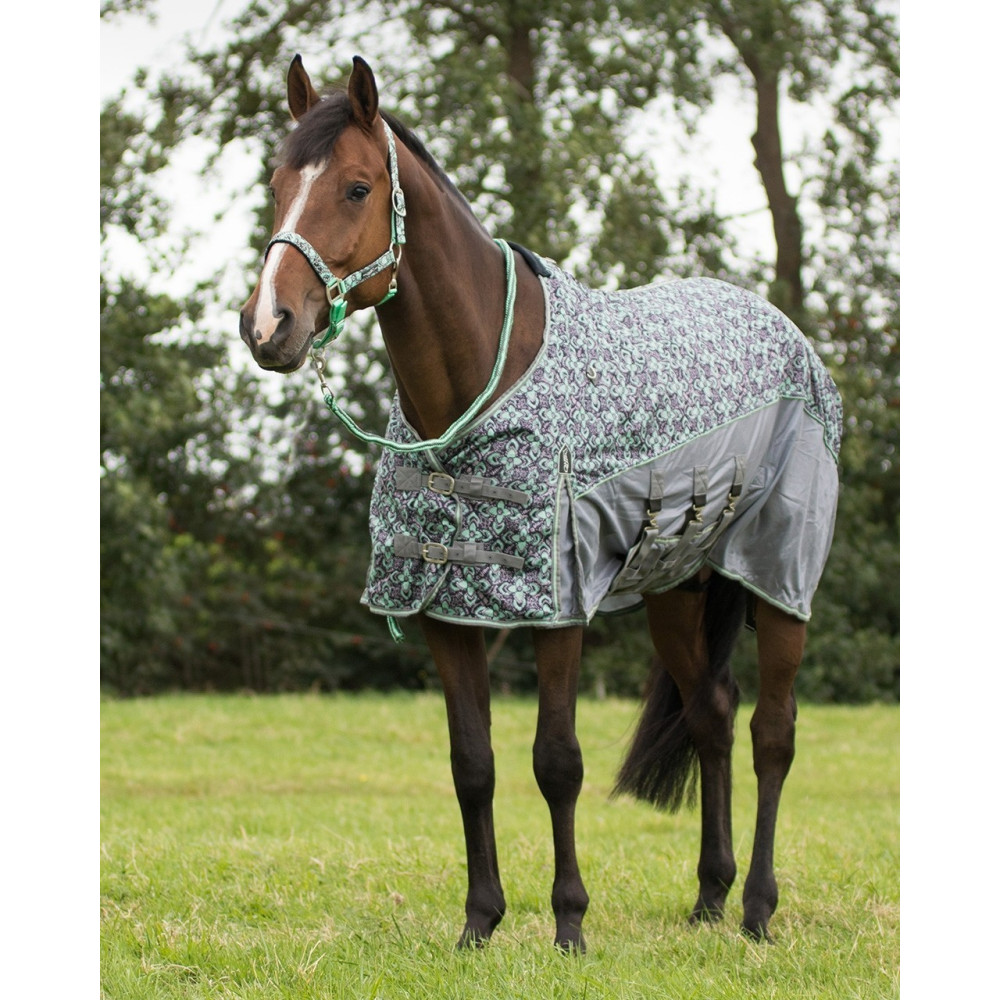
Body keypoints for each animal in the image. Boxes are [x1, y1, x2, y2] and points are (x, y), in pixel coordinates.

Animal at [239, 55, 843, 952]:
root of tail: (784, 330)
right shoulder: (446, 610)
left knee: (773, 733)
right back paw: (709, 897)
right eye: (277, 184)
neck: (472, 396)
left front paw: (569, 925)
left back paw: (759, 910)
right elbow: (473, 764)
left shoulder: (558, 608)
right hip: (678, 586)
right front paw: (479, 923)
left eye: (354, 187)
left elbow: (557, 761)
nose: (268, 325)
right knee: (712, 716)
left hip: (779, 578)